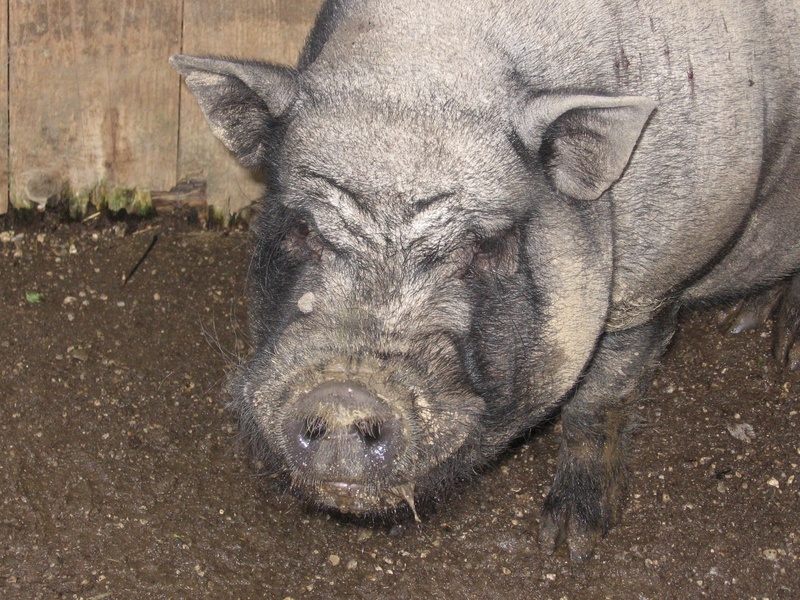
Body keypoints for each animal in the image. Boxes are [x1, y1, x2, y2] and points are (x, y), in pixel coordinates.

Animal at [170, 0, 800, 561]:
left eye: (488, 248)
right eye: (302, 228)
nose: (344, 395)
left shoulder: (650, 285)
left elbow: (602, 398)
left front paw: (568, 545)